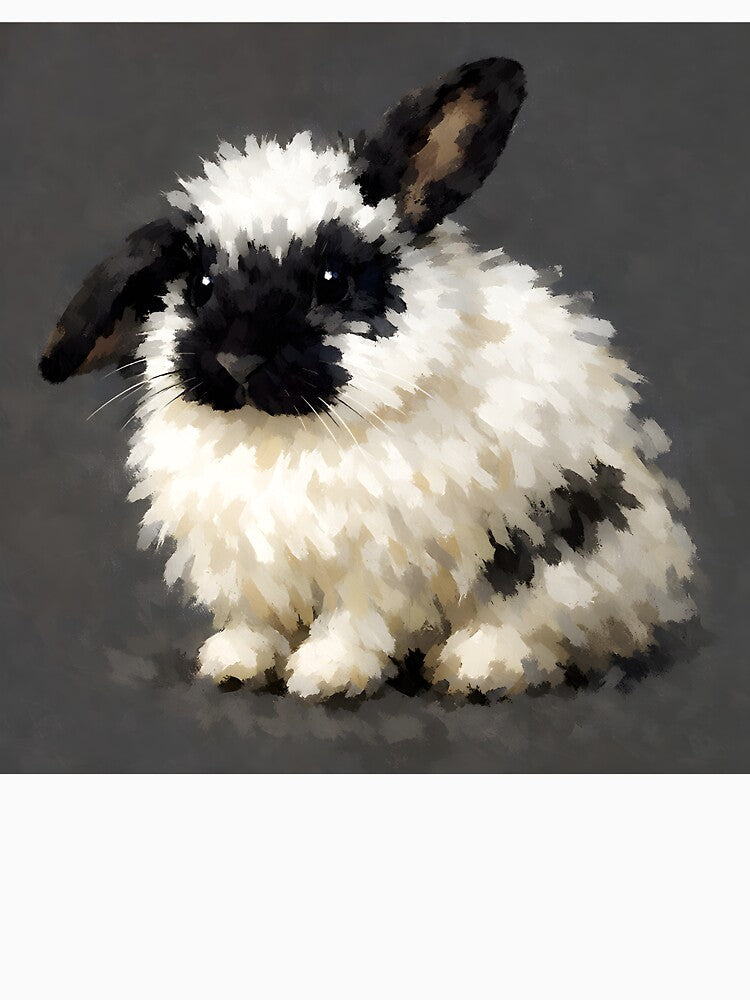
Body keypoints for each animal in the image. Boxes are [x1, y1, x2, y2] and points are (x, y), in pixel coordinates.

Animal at [39, 57, 696, 699]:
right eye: (198, 287)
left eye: (333, 281)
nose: (237, 362)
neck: (282, 436)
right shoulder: (249, 568)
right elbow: (254, 621)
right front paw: (233, 665)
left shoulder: (378, 568)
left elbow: (352, 624)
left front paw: (324, 676)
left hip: (568, 563)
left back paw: (477, 669)